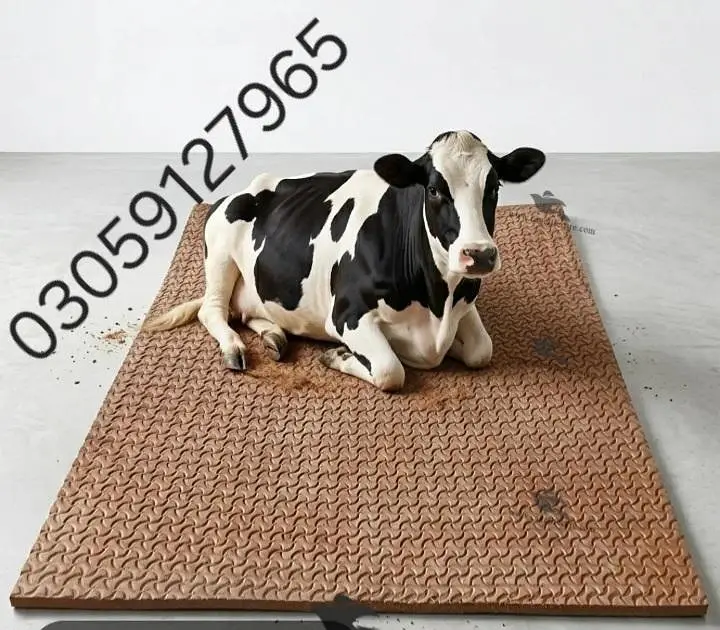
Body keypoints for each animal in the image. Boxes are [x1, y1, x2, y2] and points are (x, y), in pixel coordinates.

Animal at [144, 130, 545, 392]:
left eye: (494, 187)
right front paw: (337, 356)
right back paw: (233, 347)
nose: (479, 254)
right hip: (220, 253)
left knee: (245, 310)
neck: (436, 299)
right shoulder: (347, 314)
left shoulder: (465, 303)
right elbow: (390, 370)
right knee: (212, 310)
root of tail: (245, 187)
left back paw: (275, 336)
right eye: (433, 189)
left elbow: (481, 350)